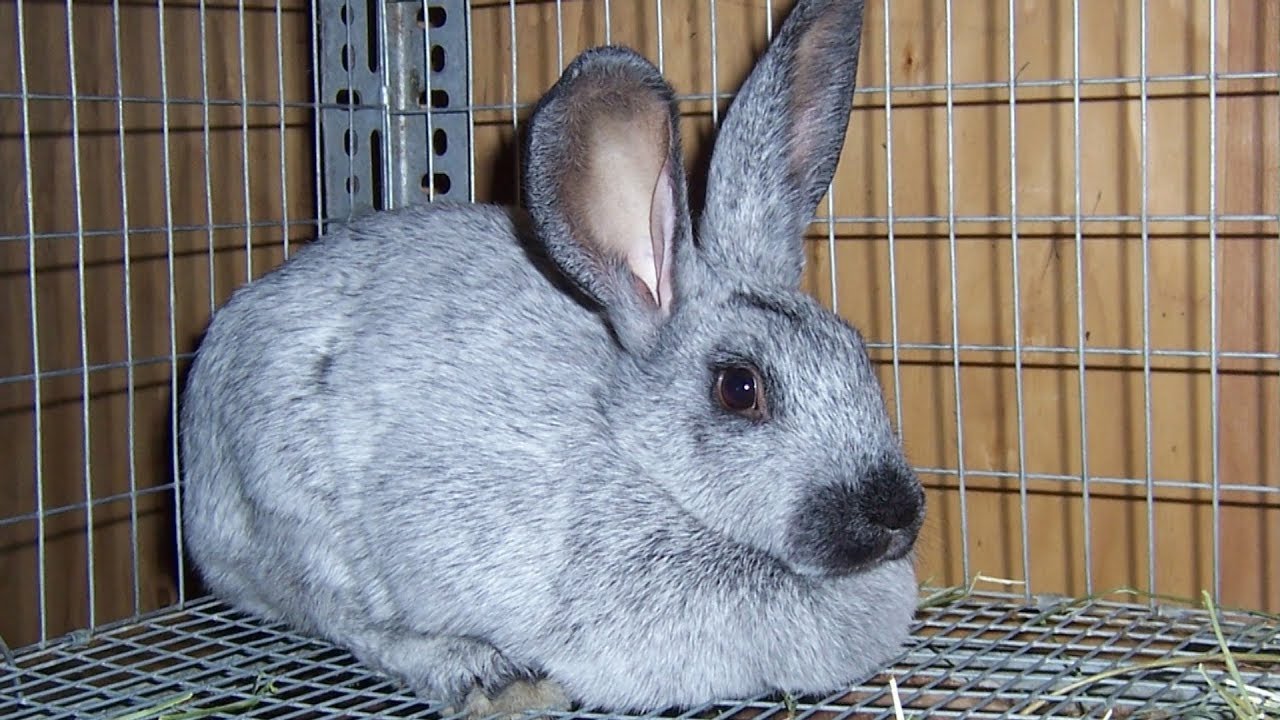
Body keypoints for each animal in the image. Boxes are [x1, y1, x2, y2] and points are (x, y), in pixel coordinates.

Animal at [178, 0, 925, 716]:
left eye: (856, 350)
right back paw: (488, 676)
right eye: (740, 388)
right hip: (301, 521)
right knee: (349, 620)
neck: (637, 454)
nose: (896, 514)